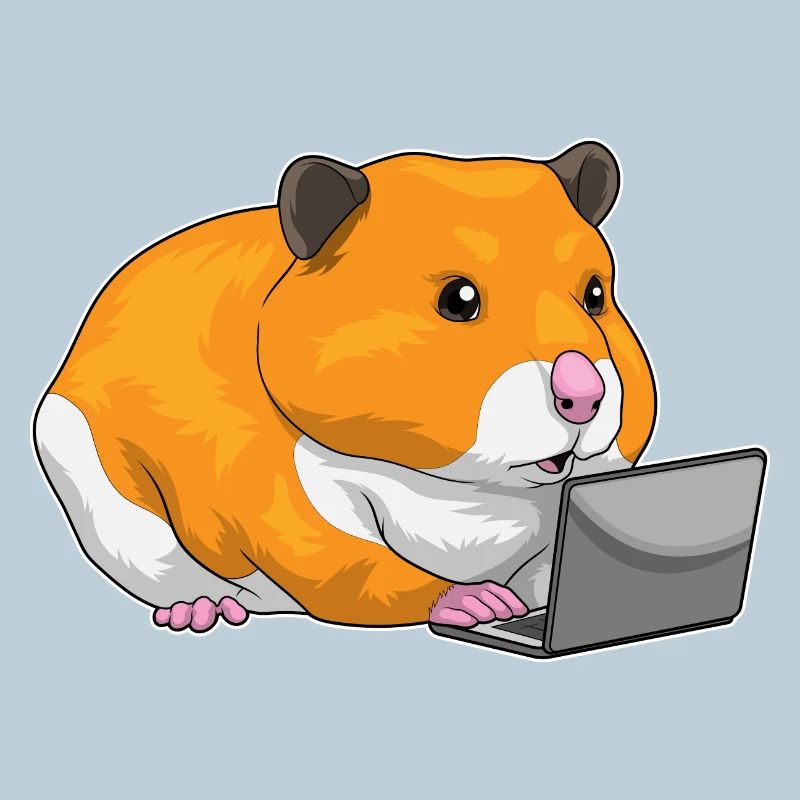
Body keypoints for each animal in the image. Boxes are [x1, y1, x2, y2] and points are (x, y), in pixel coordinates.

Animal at [34, 141, 657, 633]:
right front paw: (476, 602)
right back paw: (203, 609)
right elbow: (338, 556)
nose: (584, 394)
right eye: (458, 299)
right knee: (152, 553)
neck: (470, 494)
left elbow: (560, 557)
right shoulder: (277, 481)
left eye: (596, 295)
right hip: (80, 455)